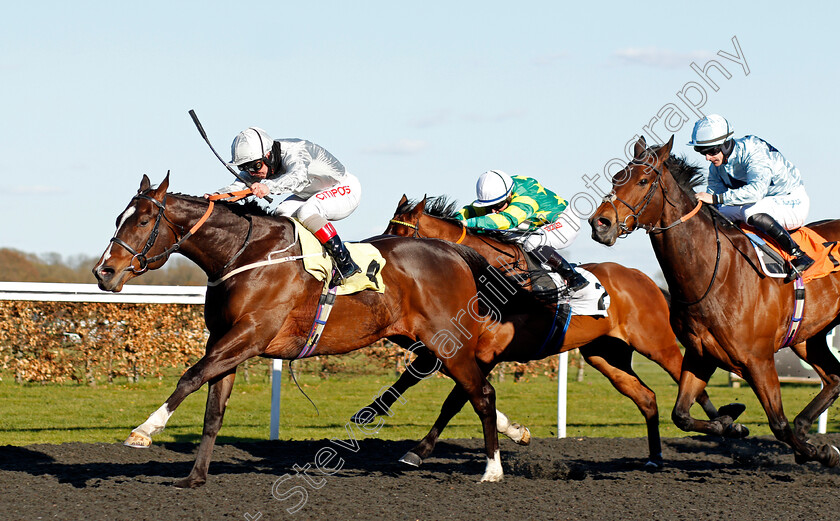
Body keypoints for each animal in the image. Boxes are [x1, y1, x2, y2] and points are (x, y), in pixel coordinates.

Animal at [93, 174, 540, 484]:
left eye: (145, 220)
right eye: (117, 218)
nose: (104, 272)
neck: (245, 253)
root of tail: (456, 252)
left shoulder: (250, 335)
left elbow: (189, 377)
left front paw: (143, 431)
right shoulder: (225, 341)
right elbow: (213, 411)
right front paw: (195, 477)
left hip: (450, 340)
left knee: (481, 393)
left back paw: (493, 470)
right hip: (424, 340)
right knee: (467, 386)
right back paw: (511, 432)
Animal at [352, 194, 732, 468]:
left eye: (399, 233)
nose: (376, 259)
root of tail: (643, 278)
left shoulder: (485, 353)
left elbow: (455, 401)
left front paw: (419, 450)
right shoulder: (453, 343)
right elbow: (414, 376)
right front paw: (369, 413)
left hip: (656, 343)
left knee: (690, 381)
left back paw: (728, 426)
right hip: (606, 355)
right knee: (647, 397)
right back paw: (656, 456)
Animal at [592, 135, 840, 468]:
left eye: (643, 180)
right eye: (616, 178)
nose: (599, 223)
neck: (714, 273)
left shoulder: (759, 360)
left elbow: (778, 424)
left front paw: (820, 452)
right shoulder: (700, 354)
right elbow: (681, 415)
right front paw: (731, 420)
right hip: (807, 337)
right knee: (834, 378)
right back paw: (803, 426)